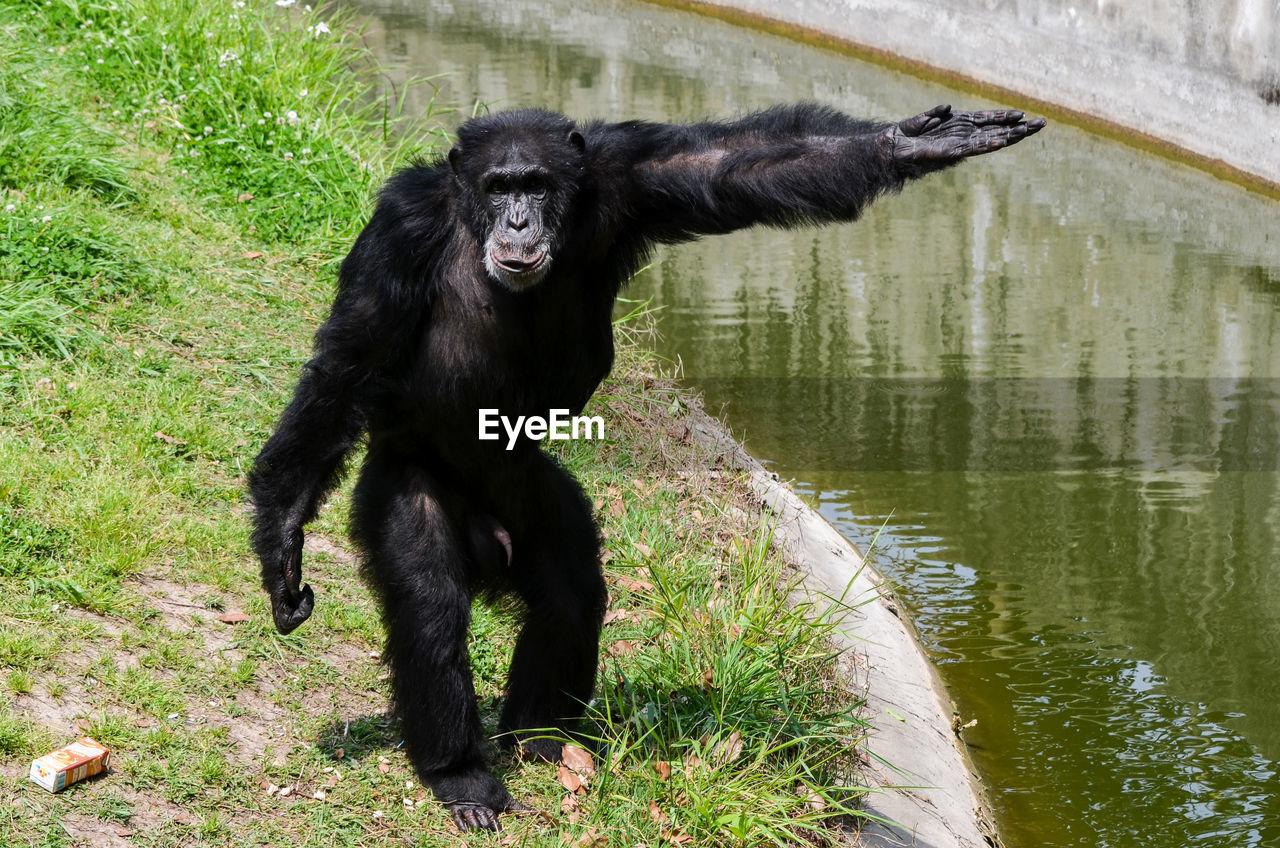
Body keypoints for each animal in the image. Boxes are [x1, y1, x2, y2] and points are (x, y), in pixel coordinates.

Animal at [247, 103, 1039, 835]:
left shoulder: (630, 178)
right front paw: (282, 544)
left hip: (536, 491)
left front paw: (912, 142)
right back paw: (461, 774)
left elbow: (737, 166)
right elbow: (349, 359)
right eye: (499, 186)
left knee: (571, 594)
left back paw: (540, 737)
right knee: (430, 605)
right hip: (404, 477)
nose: (520, 222)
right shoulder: (400, 228)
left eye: (535, 185)